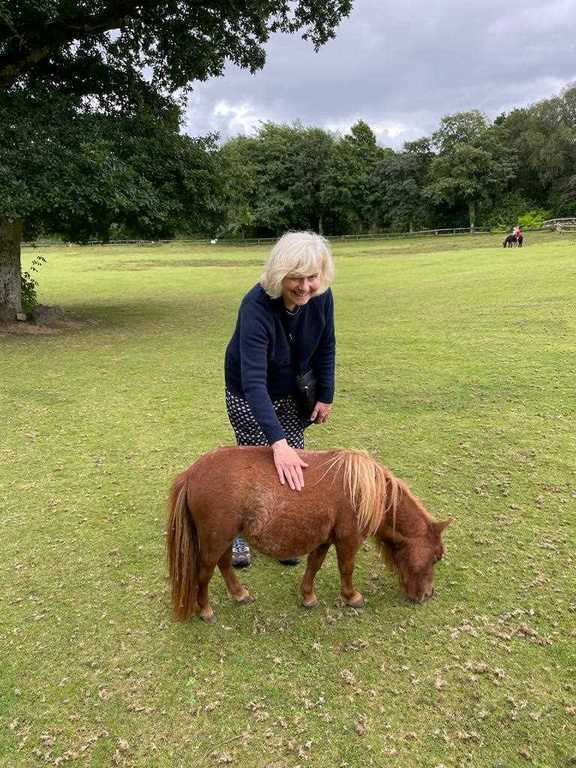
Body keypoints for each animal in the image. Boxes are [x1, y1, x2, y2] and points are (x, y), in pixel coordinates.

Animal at [167, 446, 450, 623]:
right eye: (436, 557)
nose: (427, 595)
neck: (361, 490)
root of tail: (190, 474)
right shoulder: (348, 540)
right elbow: (346, 568)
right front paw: (351, 597)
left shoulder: (324, 540)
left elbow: (314, 565)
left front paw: (308, 597)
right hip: (214, 539)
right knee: (204, 573)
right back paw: (205, 610)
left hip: (223, 538)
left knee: (224, 565)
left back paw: (239, 593)